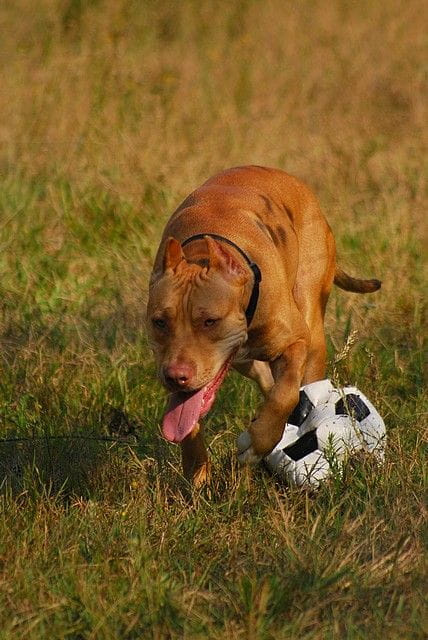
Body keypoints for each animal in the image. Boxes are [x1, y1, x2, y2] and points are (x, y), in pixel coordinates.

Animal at [147, 165, 382, 484]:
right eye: (159, 322)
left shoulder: (295, 341)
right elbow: (188, 418)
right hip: (245, 361)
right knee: (265, 378)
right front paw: (197, 472)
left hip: (312, 323)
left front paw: (258, 442)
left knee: (304, 383)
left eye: (210, 321)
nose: (175, 376)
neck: (201, 255)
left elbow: (286, 396)